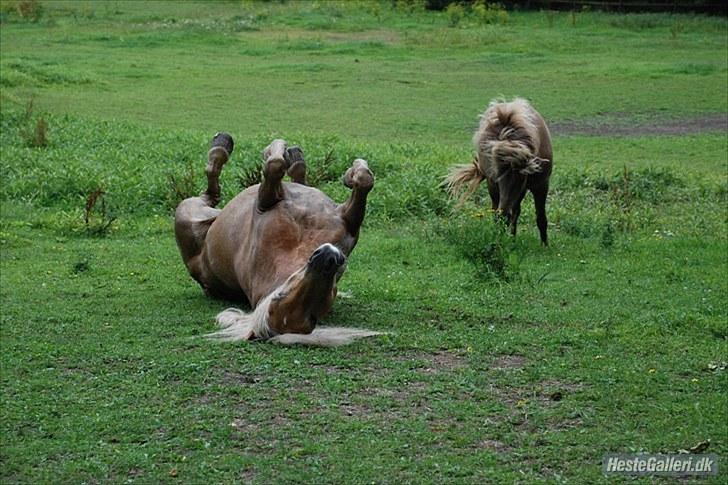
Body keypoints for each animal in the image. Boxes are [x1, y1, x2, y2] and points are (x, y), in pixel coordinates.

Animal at [174, 132, 384, 344]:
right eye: (280, 296)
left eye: (314, 315)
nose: (329, 258)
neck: (297, 245)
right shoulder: (264, 202)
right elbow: (275, 165)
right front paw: (275, 149)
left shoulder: (349, 222)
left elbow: (364, 180)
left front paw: (352, 173)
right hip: (188, 209)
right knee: (211, 186)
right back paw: (224, 144)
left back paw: (294, 157)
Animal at [444, 97, 552, 244]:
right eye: (497, 175)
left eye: (521, 177)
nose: (504, 213)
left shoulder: (541, 185)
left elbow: (541, 218)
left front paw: (545, 245)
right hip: (494, 190)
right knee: (501, 213)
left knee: (515, 212)